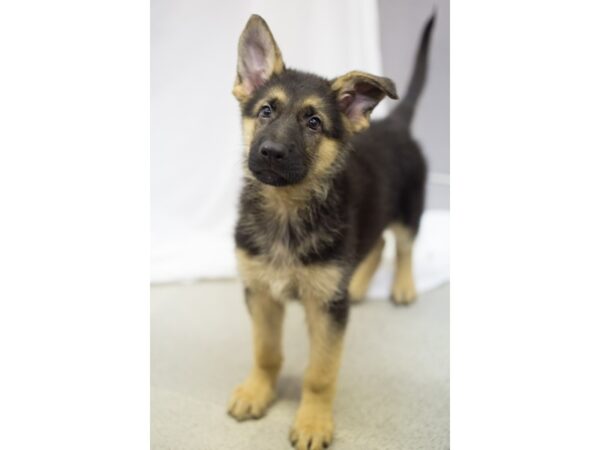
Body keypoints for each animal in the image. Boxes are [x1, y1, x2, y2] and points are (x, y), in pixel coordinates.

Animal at [227, 13, 434, 450]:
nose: (270, 152)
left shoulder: (325, 308)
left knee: (403, 245)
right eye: (266, 111)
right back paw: (357, 286)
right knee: (378, 242)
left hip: (410, 209)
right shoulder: (260, 292)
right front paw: (257, 392)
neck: (286, 209)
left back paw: (403, 287)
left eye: (314, 122)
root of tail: (396, 122)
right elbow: (265, 352)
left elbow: (320, 373)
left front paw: (313, 422)